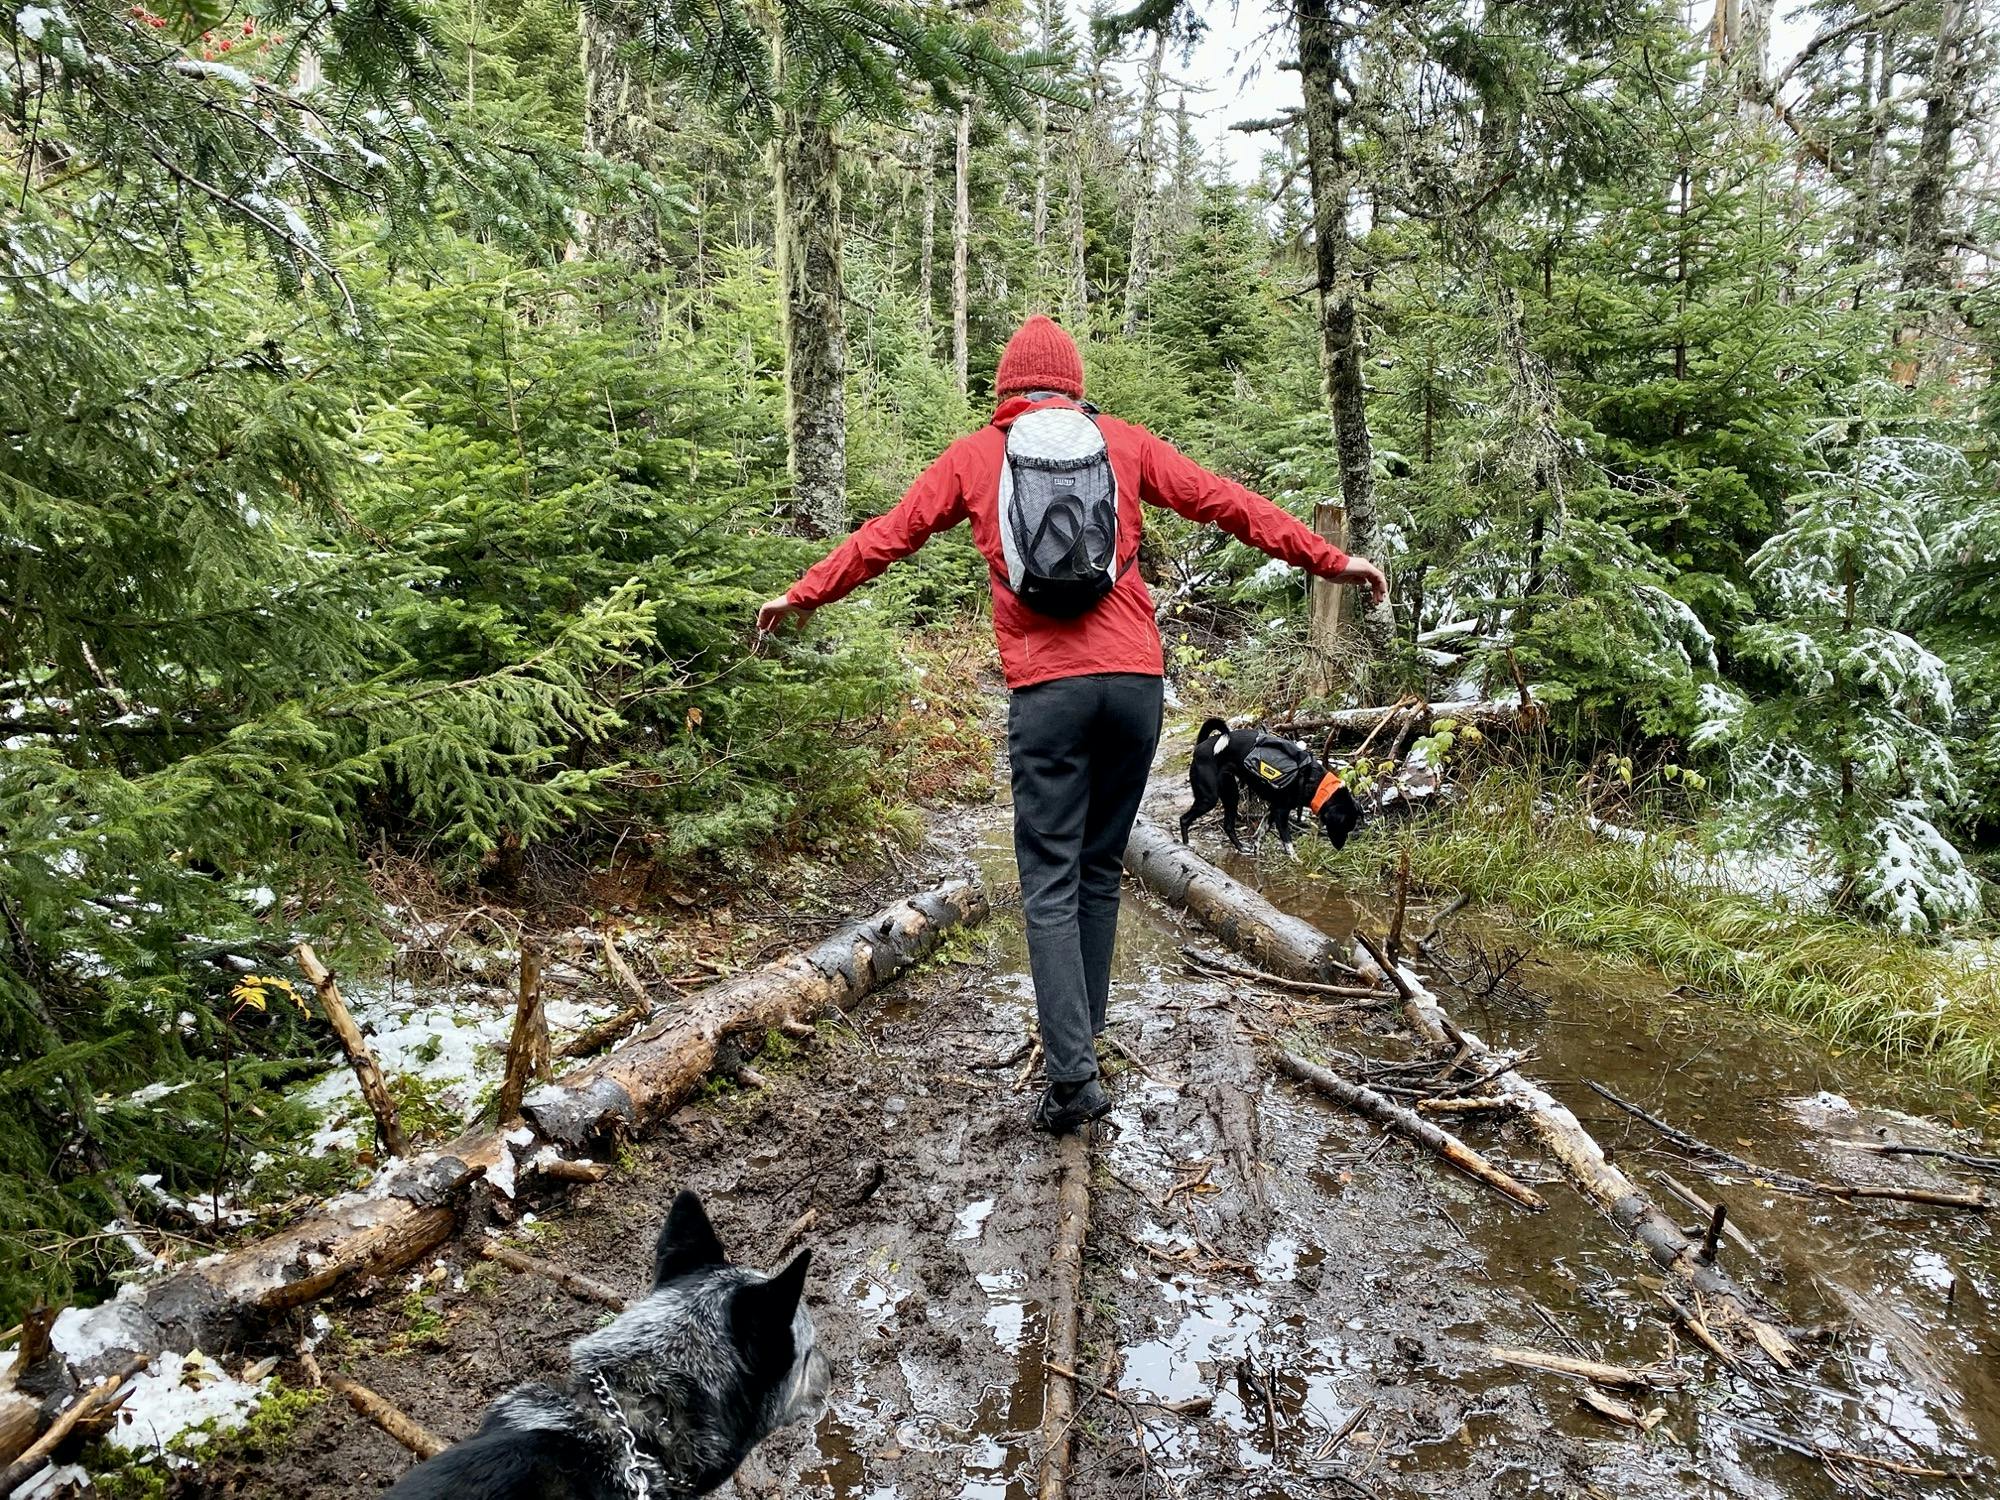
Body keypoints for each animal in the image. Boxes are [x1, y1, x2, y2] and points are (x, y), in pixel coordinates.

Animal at [1176, 720, 1368, 856]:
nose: (1340, 848)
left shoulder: (1272, 809)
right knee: (1184, 819)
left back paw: (1241, 848)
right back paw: (1187, 845)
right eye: (1343, 826)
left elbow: (1260, 833)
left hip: (1231, 794)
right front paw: (1296, 861)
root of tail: (1200, 747)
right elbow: (1288, 842)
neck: (1316, 784)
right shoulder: (1281, 812)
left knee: (1228, 826)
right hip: (1209, 798)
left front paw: (1256, 851)